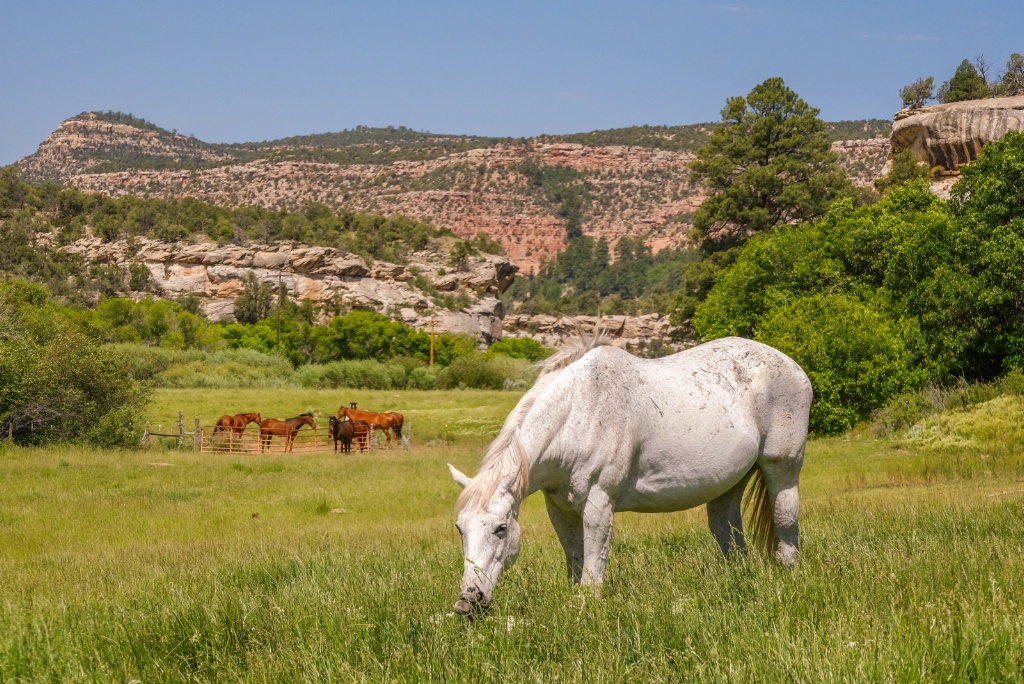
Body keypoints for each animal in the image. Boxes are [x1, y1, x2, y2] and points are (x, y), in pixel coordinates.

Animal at [444, 333, 811, 610]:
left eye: (502, 529)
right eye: (460, 529)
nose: (467, 601)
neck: (578, 413)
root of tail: (793, 366)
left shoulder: (598, 504)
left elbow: (593, 571)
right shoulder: (560, 508)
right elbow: (575, 561)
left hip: (782, 469)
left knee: (786, 523)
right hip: (728, 485)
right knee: (730, 536)